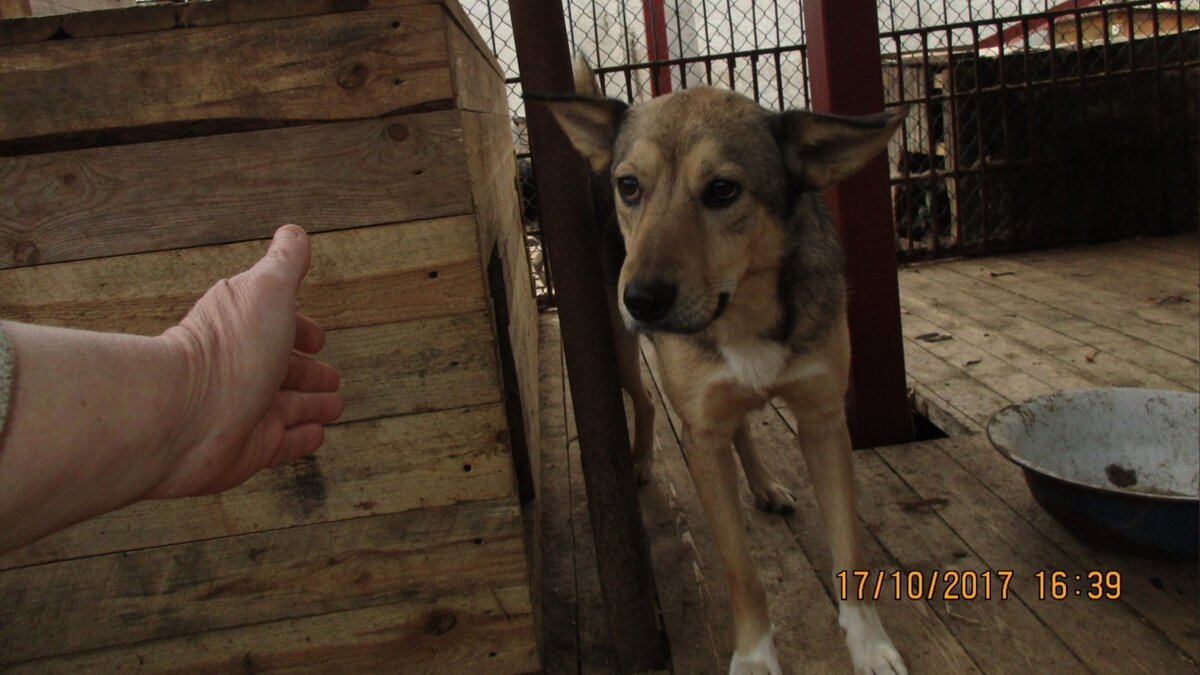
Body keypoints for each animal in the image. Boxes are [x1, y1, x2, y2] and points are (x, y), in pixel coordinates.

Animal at [535, 64, 907, 672]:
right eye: (630, 186)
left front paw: (869, 643)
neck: (742, 310)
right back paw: (641, 461)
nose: (642, 300)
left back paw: (764, 485)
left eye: (723, 190)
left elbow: (850, 549)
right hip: (621, 355)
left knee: (741, 425)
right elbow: (741, 571)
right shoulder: (701, 434)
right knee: (645, 401)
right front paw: (755, 654)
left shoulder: (824, 419)